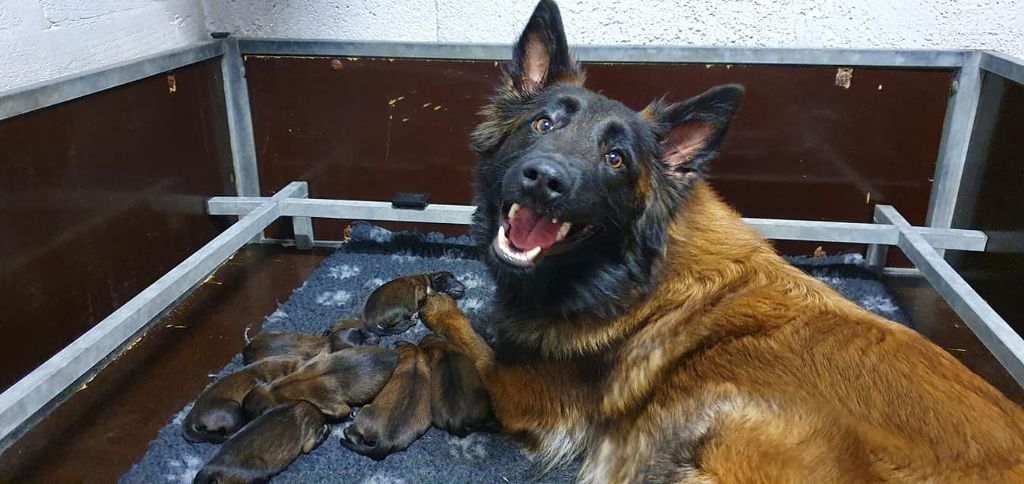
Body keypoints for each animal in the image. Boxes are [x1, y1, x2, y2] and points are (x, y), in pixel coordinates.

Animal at [415, 1, 1024, 480]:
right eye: (543, 124)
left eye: (616, 159)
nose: (544, 180)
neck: (627, 274)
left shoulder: (528, 397)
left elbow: (473, 344)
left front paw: (441, 309)